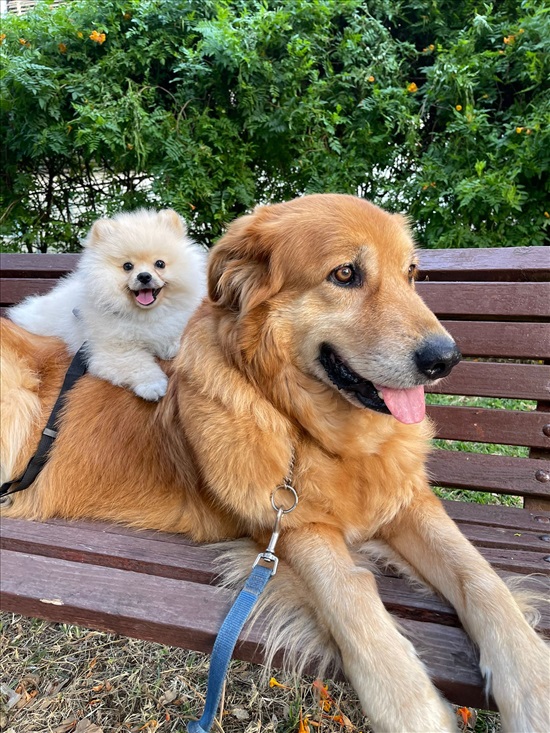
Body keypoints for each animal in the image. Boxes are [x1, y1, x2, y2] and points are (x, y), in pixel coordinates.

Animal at [9, 206, 208, 400]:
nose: (144, 276)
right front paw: (152, 385)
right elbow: (135, 362)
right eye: (128, 266)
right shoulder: (111, 349)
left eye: (160, 264)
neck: (144, 315)